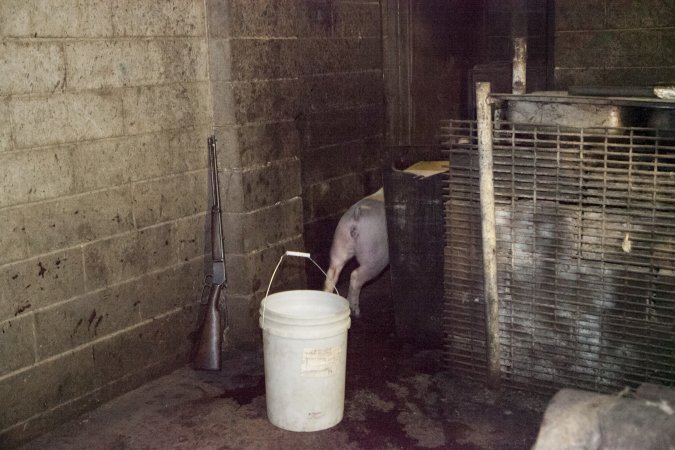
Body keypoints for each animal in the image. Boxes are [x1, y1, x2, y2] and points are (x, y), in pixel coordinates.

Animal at [324, 188, 388, 318]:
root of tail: (357, 216)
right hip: (375, 255)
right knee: (355, 276)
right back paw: (356, 312)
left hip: (340, 241)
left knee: (332, 274)